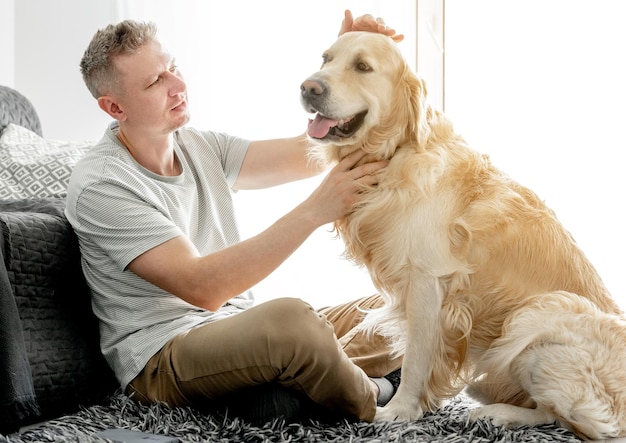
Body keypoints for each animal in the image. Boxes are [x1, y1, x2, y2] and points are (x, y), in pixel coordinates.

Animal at [300, 30, 624, 440]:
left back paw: (498, 415)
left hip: (538, 313)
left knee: (575, 421)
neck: (398, 153)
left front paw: (399, 412)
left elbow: (415, 358)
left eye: (362, 66)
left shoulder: (427, 281)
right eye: (325, 59)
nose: (308, 87)